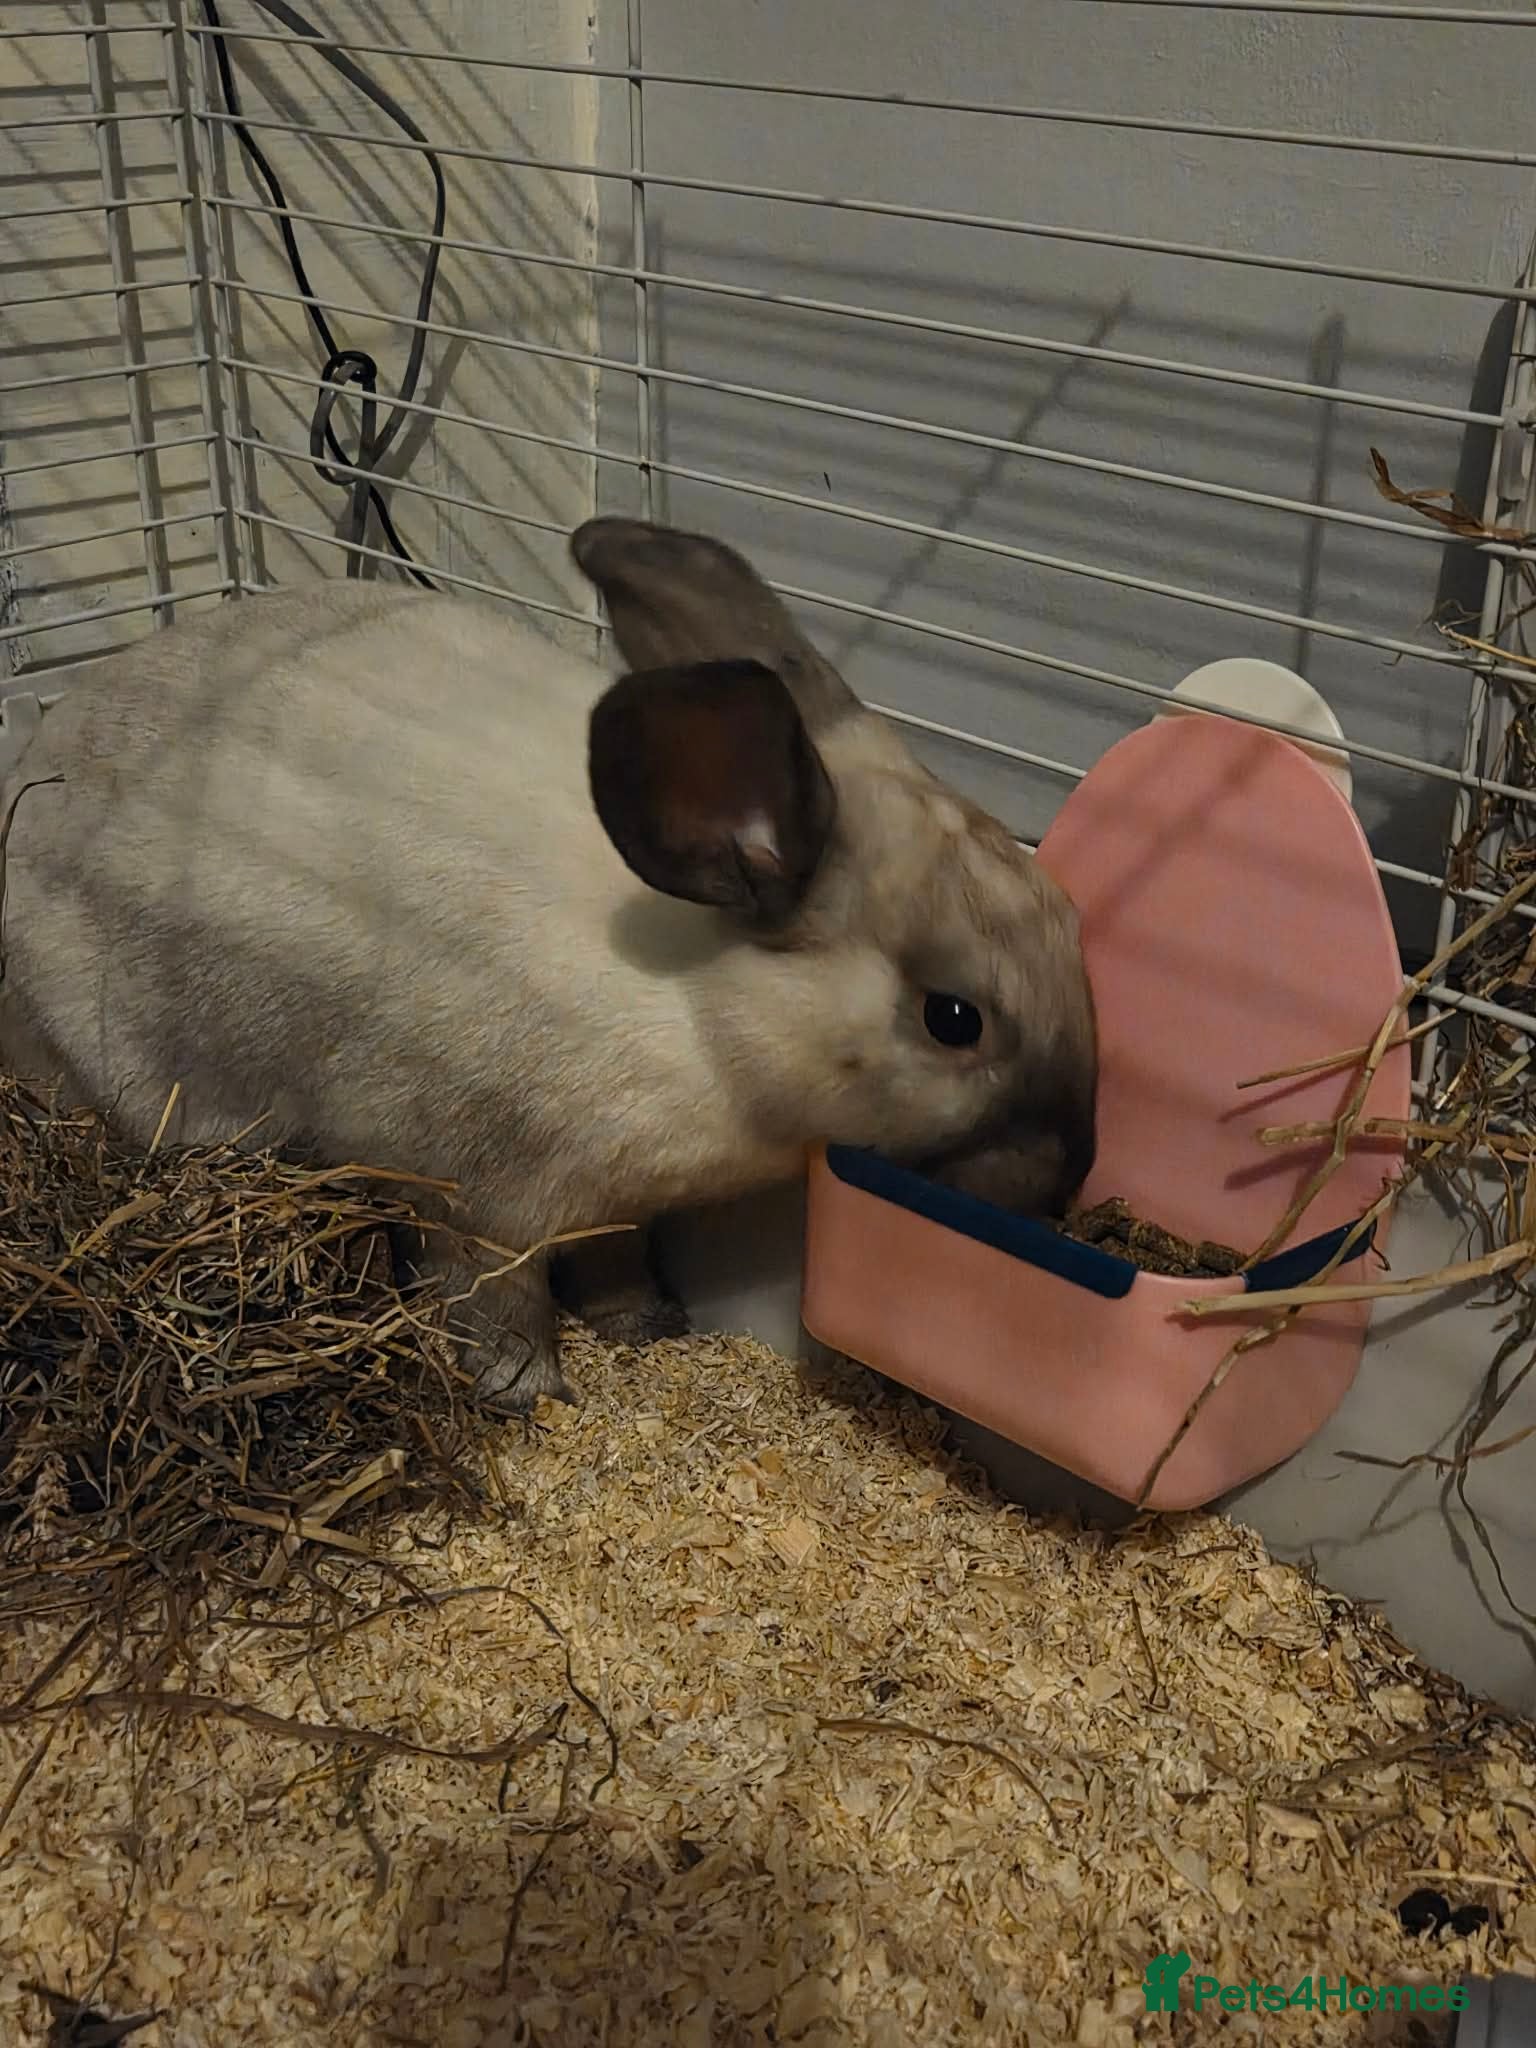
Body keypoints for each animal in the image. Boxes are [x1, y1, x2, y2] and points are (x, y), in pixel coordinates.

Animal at [0, 515, 1097, 1410]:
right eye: (953, 1018)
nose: (1067, 1177)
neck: (696, 1015)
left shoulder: (614, 1205)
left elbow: (613, 1262)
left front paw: (647, 1325)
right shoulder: (471, 1196)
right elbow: (492, 1300)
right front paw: (525, 1390)